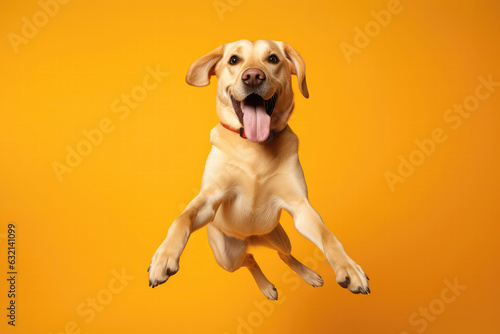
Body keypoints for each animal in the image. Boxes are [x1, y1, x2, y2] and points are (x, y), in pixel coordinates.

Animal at [146, 39, 370, 300]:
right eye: (234, 60)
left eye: (272, 59)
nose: (253, 76)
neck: (255, 149)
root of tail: (252, 239)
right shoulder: (210, 198)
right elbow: (183, 218)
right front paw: (164, 256)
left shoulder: (300, 208)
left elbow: (328, 236)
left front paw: (348, 267)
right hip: (227, 256)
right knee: (250, 259)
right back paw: (265, 285)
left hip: (280, 237)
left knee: (282, 255)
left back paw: (306, 274)